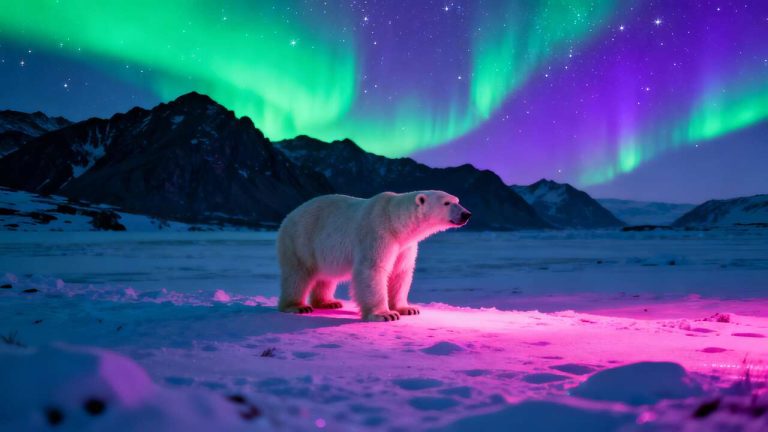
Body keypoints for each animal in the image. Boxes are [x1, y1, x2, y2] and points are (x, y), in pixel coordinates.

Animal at [276, 190, 471, 322]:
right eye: (447, 203)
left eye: (457, 200)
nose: (466, 214)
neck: (395, 221)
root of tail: (290, 215)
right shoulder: (377, 232)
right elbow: (373, 268)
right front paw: (385, 314)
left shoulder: (404, 246)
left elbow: (400, 272)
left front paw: (407, 309)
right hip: (300, 239)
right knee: (297, 274)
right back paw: (297, 306)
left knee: (326, 276)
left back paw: (328, 302)